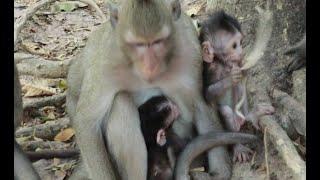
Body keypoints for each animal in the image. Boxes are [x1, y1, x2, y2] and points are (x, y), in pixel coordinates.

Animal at [67, 0, 248, 178]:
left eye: (158, 42)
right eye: (138, 44)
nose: (150, 65)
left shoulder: (189, 50)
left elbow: (200, 103)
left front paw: (220, 171)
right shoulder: (106, 62)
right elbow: (86, 122)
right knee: (121, 102)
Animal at [201, 10, 274, 163]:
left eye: (241, 43)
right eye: (234, 46)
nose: (241, 52)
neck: (224, 64)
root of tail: (240, 121)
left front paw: (245, 68)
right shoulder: (211, 69)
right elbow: (208, 93)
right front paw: (231, 77)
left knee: (240, 90)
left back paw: (252, 115)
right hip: (233, 122)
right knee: (226, 112)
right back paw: (238, 146)